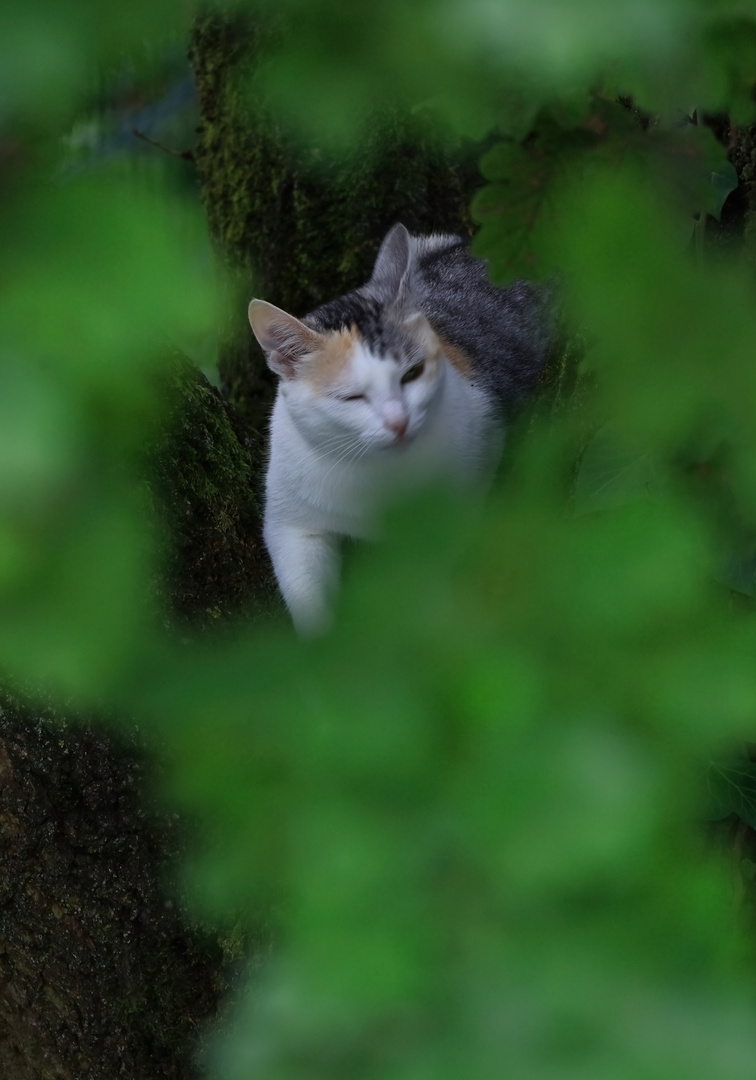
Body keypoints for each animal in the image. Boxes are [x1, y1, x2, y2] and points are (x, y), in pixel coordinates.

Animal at [248, 225, 548, 630]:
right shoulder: (291, 523)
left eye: (412, 374)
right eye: (352, 397)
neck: (377, 472)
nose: (399, 421)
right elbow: (307, 595)